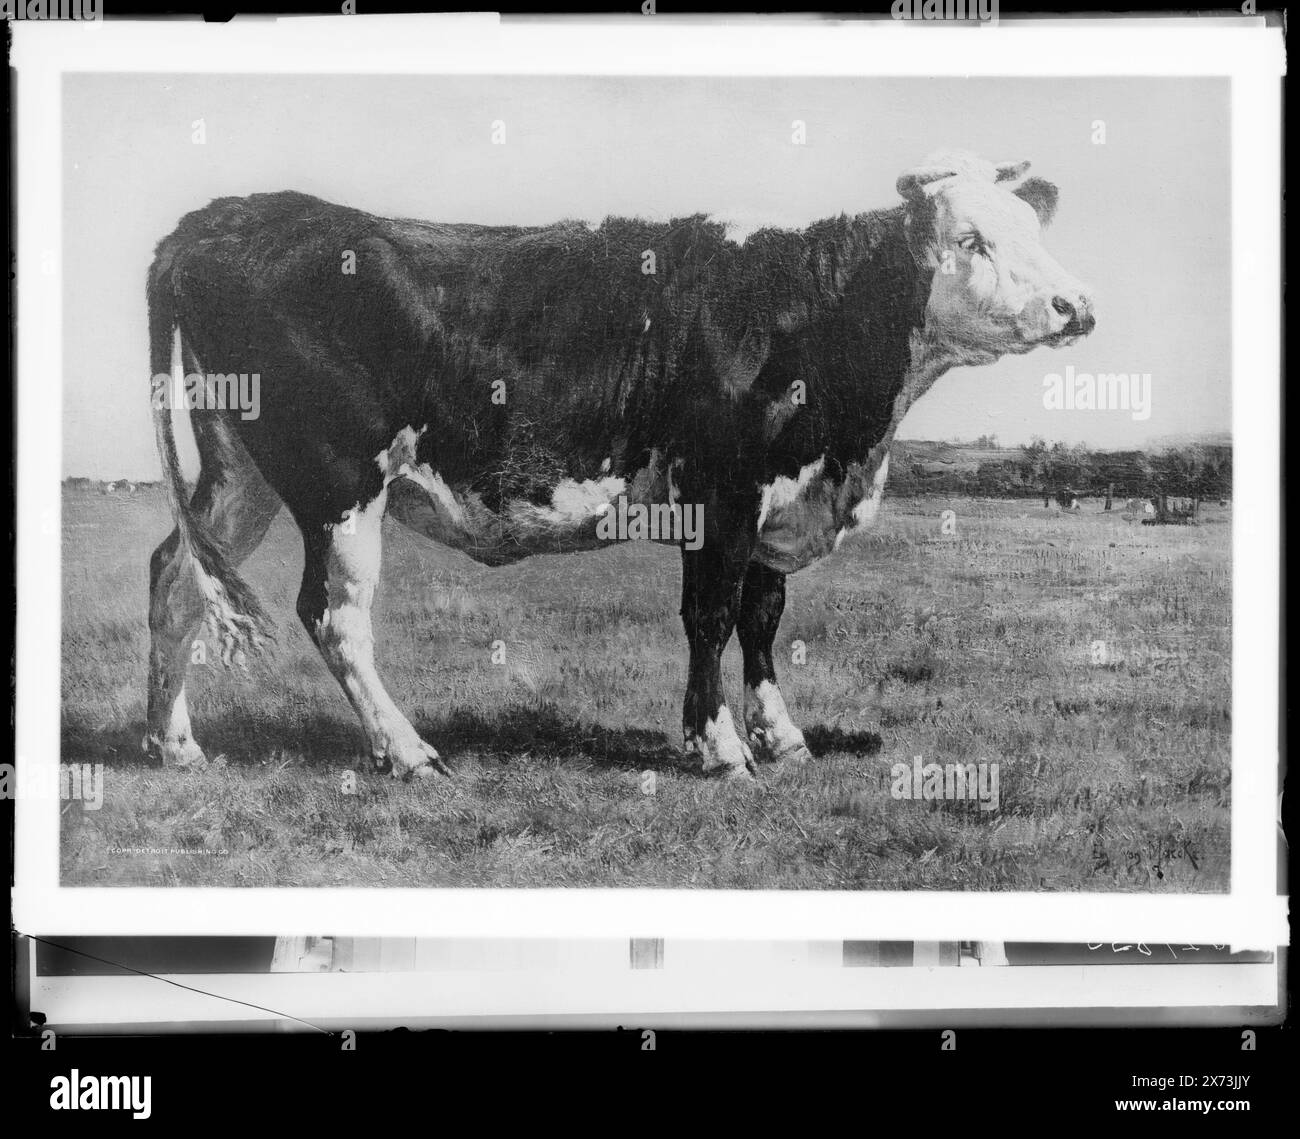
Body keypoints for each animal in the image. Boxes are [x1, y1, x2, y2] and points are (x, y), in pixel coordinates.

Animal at [144, 150, 1094, 781]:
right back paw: (408, 751)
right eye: (971, 239)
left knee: (177, 577)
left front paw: (781, 736)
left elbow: (763, 618)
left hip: (241, 469)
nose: (1075, 305)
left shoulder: (775, 495)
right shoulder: (722, 488)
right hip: (339, 483)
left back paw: (173, 744)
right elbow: (711, 615)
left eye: (1031, 229)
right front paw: (719, 748)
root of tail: (222, 218)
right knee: (334, 615)